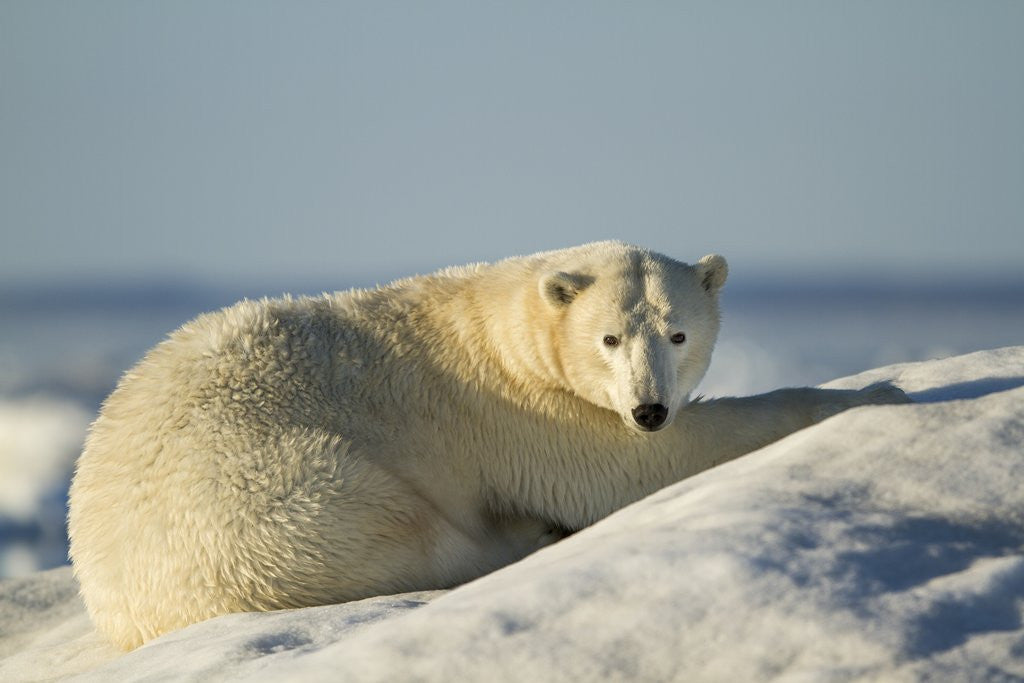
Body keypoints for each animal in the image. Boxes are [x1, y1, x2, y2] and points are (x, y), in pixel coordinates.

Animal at [68, 241, 909, 650]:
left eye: (677, 332)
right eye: (610, 337)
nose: (649, 407)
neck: (505, 330)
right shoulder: (525, 412)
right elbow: (630, 469)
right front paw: (882, 389)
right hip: (271, 492)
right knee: (406, 528)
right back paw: (521, 537)